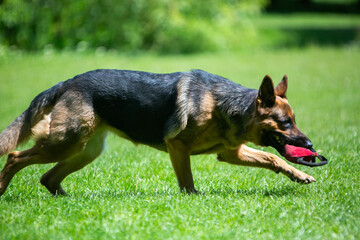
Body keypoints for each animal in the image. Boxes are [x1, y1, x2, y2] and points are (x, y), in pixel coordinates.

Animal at [0, 69, 316, 195]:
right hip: (66, 143)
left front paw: (300, 175)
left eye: (293, 120)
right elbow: (187, 183)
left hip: (84, 150)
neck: (224, 105)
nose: (310, 144)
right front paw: (194, 200)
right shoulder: (178, 147)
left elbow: (274, 159)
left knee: (48, 177)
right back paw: (3, 189)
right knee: (15, 156)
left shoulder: (230, 153)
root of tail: (67, 82)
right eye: (285, 123)